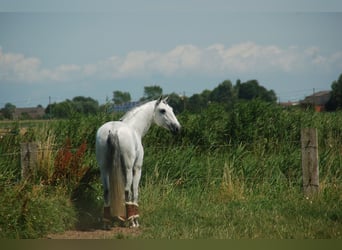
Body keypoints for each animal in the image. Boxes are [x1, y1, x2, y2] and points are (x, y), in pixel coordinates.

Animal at [95, 97, 182, 229]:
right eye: (163, 110)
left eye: (171, 109)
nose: (177, 128)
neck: (135, 128)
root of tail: (113, 130)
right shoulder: (136, 168)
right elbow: (135, 191)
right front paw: (134, 220)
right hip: (128, 168)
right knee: (127, 191)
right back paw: (130, 220)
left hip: (104, 169)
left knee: (107, 191)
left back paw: (107, 222)